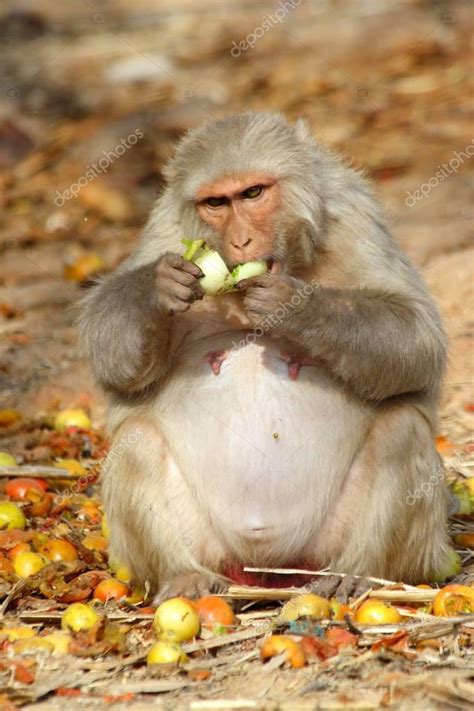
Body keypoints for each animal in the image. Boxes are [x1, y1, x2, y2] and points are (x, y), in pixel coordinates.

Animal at [78, 111, 452, 600]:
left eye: (253, 193)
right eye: (216, 203)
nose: (240, 242)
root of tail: (270, 571)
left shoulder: (353, 215)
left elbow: (417, 337)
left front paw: (293, 305)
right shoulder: (166, 228)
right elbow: (111, 356)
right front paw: (159, 286)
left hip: (334, 546)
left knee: (401, 429)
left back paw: (359, 572)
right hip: (213, 547)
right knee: (136, 440)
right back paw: (185, 574)